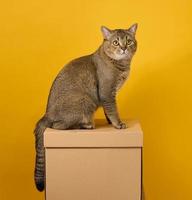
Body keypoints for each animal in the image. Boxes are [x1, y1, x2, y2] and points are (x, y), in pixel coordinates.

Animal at [33, 24, 137, 191]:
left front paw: (110, 122)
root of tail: (46, 114)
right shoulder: (107, 92)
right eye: (115, 42)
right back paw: (86, 125)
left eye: (129, 41)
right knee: (57, 126)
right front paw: (118, 124)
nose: (123, 48)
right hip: (85, 100)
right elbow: (113, 110)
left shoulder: (109, 95)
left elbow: (108, 111)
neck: (119, 65)